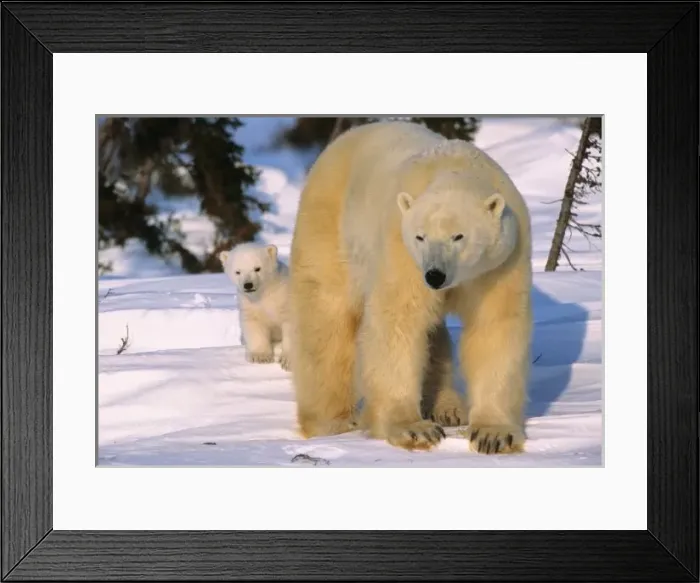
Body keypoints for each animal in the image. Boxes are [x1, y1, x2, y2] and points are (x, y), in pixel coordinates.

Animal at [219, 242, 292, 372]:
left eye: (257, 268)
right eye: (238, 272)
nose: (248, 285)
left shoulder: (285, 297)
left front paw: (287, 361)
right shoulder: (249, 304)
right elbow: (254, 325)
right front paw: (260, 357)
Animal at [288, 120, 533, 455]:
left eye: (459, 236)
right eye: (420, 236)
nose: (434, 276)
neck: (455, 167)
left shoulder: (502, 262)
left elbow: (495, 326)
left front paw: (493, 435)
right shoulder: (401, 249)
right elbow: (400, 321)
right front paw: (414, 429)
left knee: (434, 334)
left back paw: (447, 407)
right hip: (330, 227)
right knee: (326, 316)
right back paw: (331, 422)